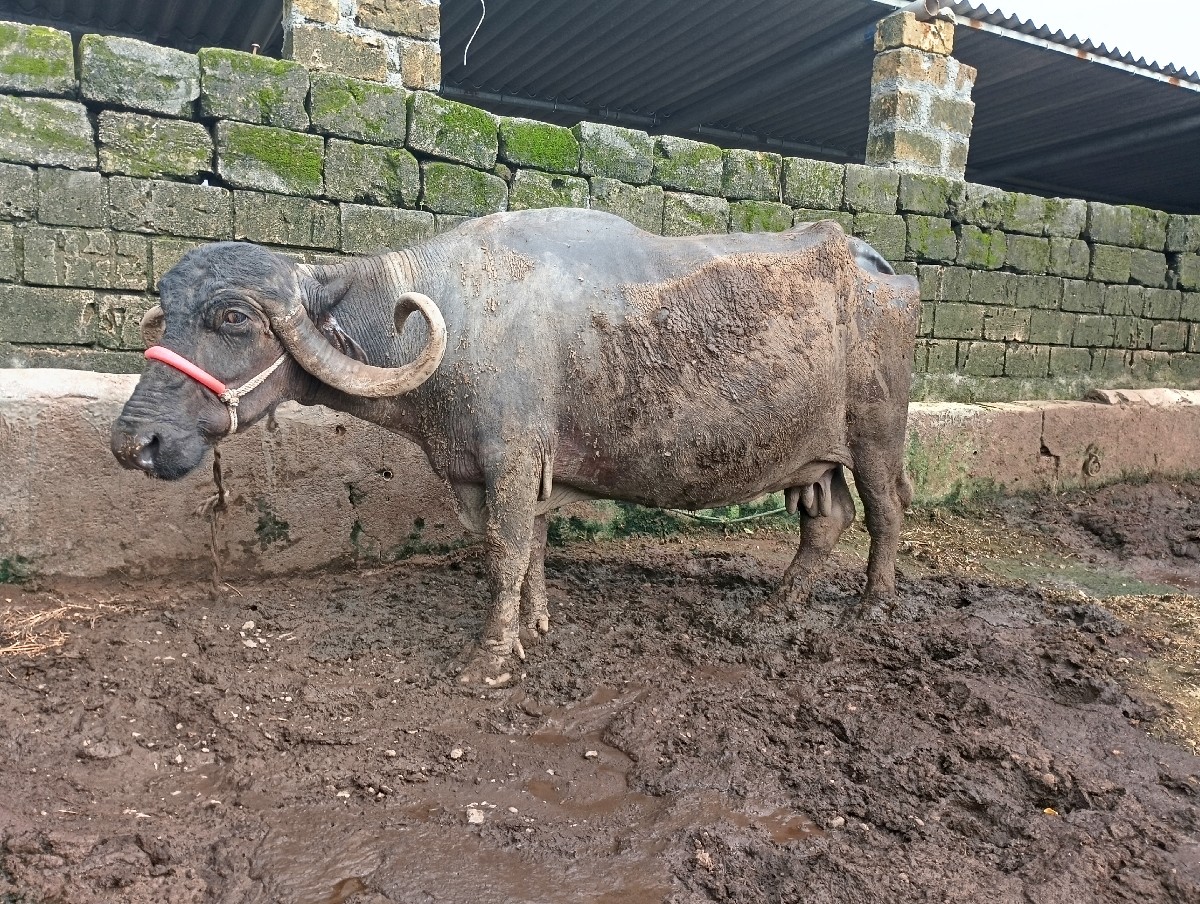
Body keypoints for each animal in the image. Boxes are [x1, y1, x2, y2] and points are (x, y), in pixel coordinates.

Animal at [111, 208, 919, 684]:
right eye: (167, 309)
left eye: (233, 316)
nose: (134, 440)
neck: (454, 318)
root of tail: (881, 269)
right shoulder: (490, 471)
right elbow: (526, 548)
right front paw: (535, 625)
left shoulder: (510, 460)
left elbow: (502, 552)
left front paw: (491, 658)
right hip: (814, 455)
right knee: (827, 519)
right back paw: (777, 604)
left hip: (877, 430)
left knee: (885, 511)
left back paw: (873, 605)